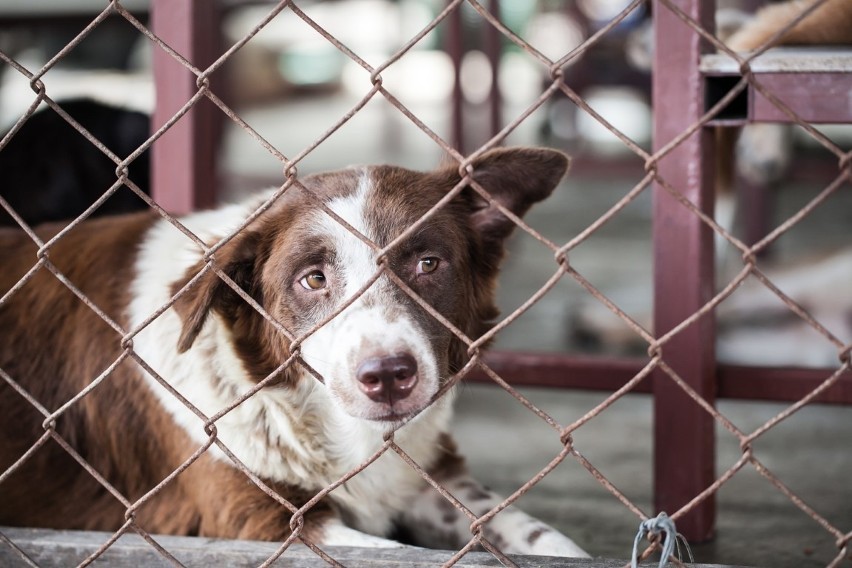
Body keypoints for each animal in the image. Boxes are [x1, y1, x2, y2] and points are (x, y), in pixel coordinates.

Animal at [0, 148, 588, 560]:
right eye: (313, 279)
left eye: (427, 263)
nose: (388, 375)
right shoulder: (253, 518)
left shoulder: (432, 476)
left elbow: (545, 539)